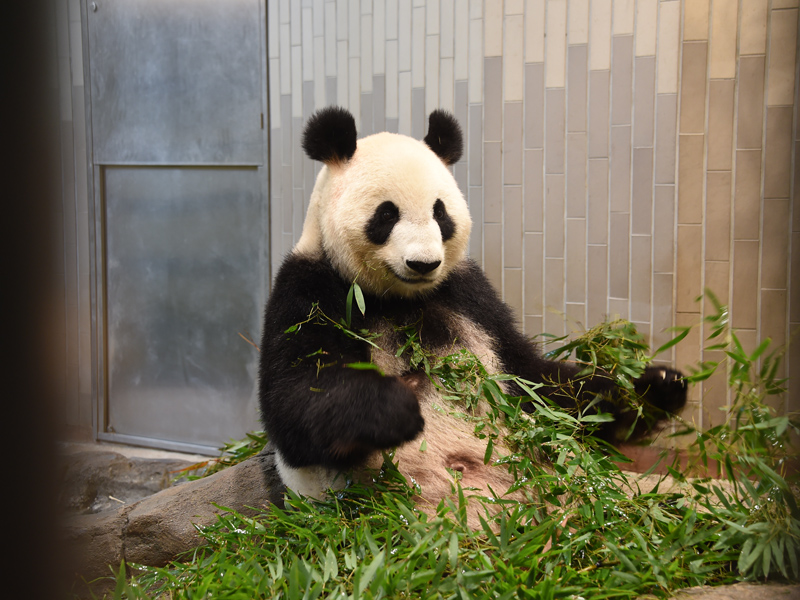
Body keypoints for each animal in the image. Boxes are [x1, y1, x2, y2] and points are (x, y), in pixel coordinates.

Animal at [258, 108, 688, 520]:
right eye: (386, 215)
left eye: (440, 213)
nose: (424, 263)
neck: (399, 298)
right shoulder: (310, 289)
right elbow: (296, 400)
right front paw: (393, 409)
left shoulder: (470, 296)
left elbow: (540, 383)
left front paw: (659, 386)